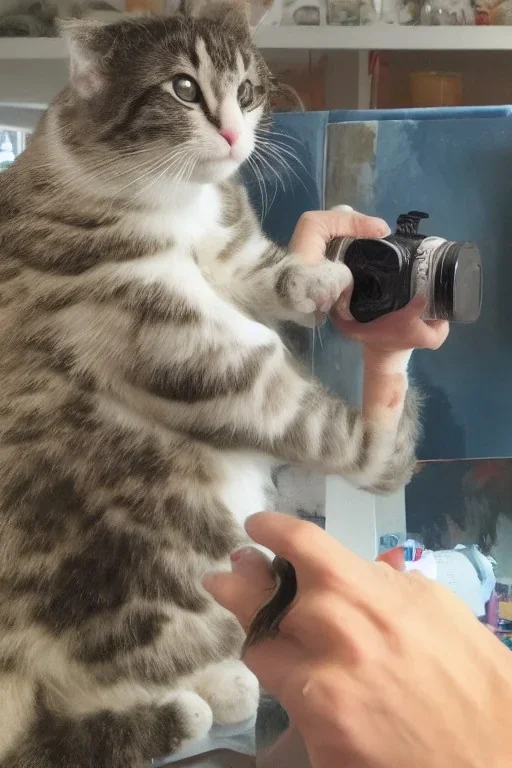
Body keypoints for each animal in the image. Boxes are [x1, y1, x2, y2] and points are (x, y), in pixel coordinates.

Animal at [0, 7, 420, 768]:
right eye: (184, 88)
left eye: (248, 90)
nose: (231, 132)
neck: (180, 203)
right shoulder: (177, 336)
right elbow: (316, 420)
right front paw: (393, 421)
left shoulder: (231, 247)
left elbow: (267, 272)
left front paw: (324, 275)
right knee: (95, 698)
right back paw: (196, 704)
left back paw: (226, 687)